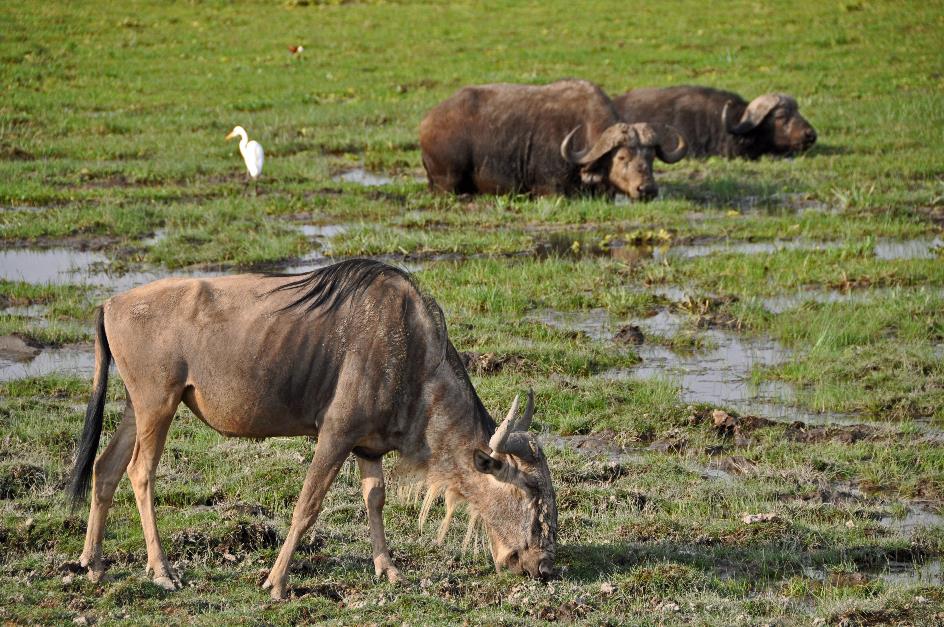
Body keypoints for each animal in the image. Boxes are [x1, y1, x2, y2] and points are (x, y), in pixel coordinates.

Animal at [70, 258, 556, 600]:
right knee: (140, 472)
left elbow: (375, 499)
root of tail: (110, 305)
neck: (413, 352)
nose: (544, 568)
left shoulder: (367, 447)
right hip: (158, 404)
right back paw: (163, 572)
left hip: (137, 407)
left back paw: (93, 564)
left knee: (105, 469)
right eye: (533, 499)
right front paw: (276, 582)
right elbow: (307, 506)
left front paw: (389, 570)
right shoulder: (335, 435)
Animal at [420, 79, 684, 200]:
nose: (647, 189)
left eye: (650, 158)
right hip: (448, 180)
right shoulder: (549, 188)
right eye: (621, 157)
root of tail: (428, 122)